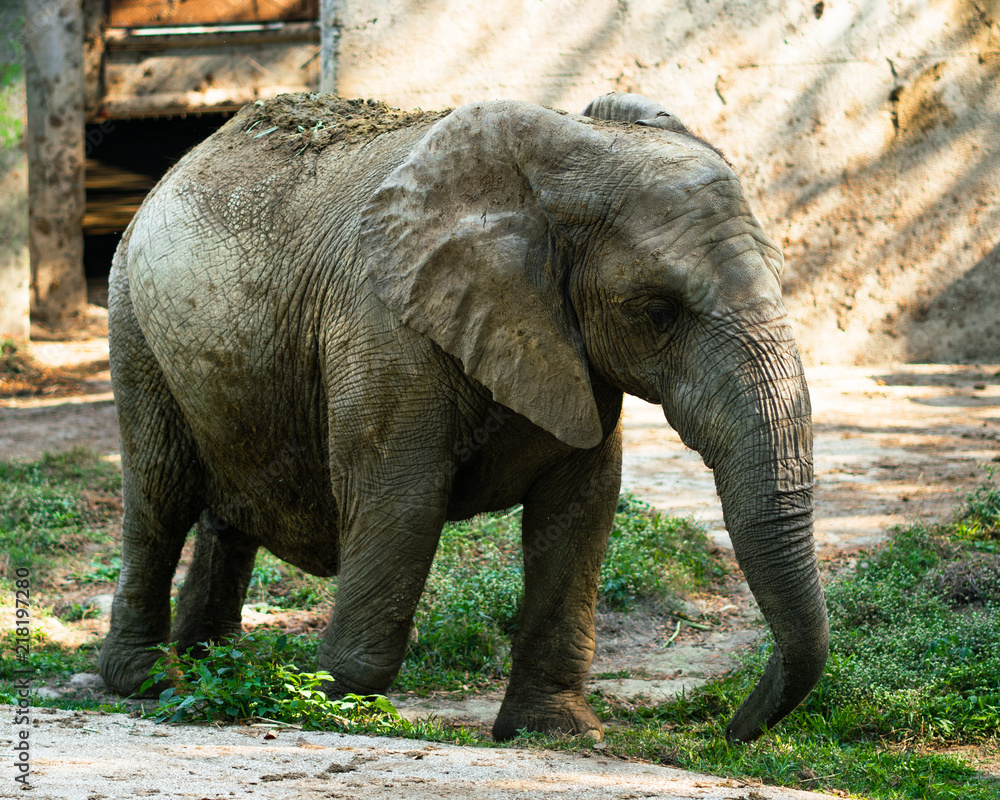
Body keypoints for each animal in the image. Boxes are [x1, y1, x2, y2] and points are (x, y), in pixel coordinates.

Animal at [98, 91, 828, 745]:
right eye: (657, 310)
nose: (731, 729)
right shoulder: (383, 323)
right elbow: (403, 501)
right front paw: (335, 705)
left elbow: (582, 508)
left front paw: (554, 733)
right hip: (132, 319)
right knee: (160, 492)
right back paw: (149, 682)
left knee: (226, 511)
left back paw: (214, 669)